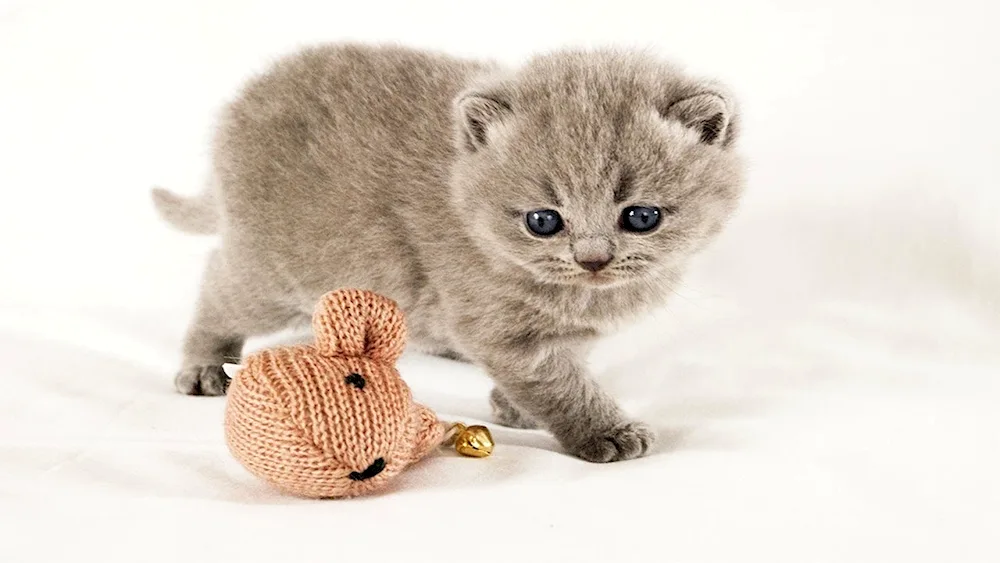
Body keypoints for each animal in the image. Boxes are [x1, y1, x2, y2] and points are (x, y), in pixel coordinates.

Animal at [150, 44, 744, 462]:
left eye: (642, 217)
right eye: (543, 222)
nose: (593, 259)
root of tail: (239, 105)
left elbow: (559, 367)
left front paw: (511, 407)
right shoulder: (502, 331)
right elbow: (560, 385)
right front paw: (605, 431)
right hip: (273, 270)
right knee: (218, 281)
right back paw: (202, 366)